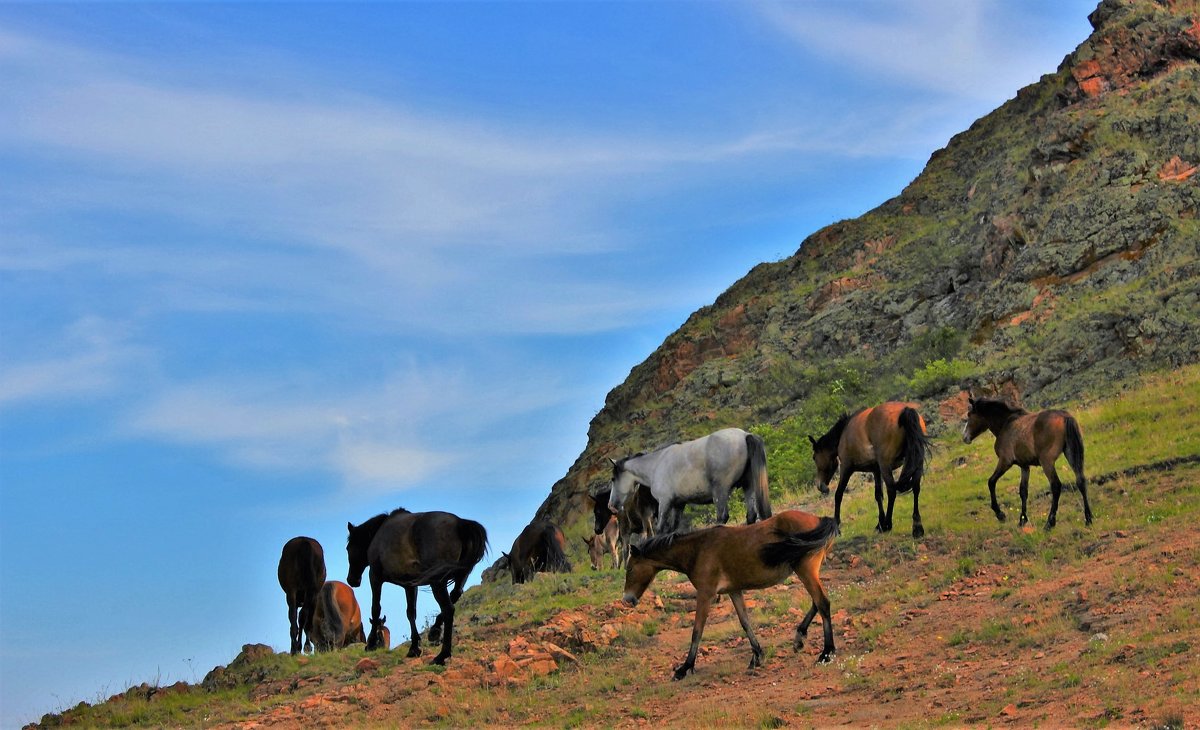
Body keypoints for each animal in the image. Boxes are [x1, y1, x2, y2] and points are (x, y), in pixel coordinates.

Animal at [345, 511, 484, 662]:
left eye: (348, 548)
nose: (351, 580)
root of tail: (460, 523)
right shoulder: (410, 586)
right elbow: (411, 613)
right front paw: (414, 648)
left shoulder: (375, 576)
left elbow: (375, 609)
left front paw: (370, 644)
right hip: (459, 576)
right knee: (456, 594)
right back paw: (434, 631)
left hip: (437, 582)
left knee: (448, 609)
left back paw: (442, 655)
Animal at [604, 427, 772, 530]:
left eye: (613, 479)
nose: (611, 506)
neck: (656, 465)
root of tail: (744, 435)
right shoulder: (679, 505)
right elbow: (673, 530)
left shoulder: (665, 503)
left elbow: (661, 529)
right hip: (748, 486)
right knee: (751, 515)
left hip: (720, 491)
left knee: (722, 517)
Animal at [624, 511, 840, 681]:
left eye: (630, 568)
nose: (627, 599)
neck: (698, 550)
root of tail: (820, 519)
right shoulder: (734, 591)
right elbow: (745, 622)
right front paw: (757, 656)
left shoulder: (706, 594)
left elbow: (697, 631)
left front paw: (684, 668)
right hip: (809, 571)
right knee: (817, 602)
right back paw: (799, 637)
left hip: (806, 570)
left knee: (823, 602)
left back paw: (826, 652)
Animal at [811, 398, 931, 535]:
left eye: (814, 457)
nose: (820, 486)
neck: (843, 433)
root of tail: (905, 411)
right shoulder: (876, 470)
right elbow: (878, 495)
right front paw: (879, 524)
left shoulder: (847, 468)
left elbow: (838, 494)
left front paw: (836, 523)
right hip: (916, 461)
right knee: (916, 487)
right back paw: (917, 527)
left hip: (886, 465)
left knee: (892, 491)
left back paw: (888, 524)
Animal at [960, 396, 1094, 528]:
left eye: (969, 415)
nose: (964, 437)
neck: (1006, 424)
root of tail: (1065, 417)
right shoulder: (1024, 466)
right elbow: (1023, 491)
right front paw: (1022, 519)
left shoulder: (1005, 461)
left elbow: (991, 482)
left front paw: (1000, 514)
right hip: (1071, 454)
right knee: (1080, 480)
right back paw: (1088, 519)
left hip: (1047, 462)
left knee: (1056, 486)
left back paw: (1049, 523)